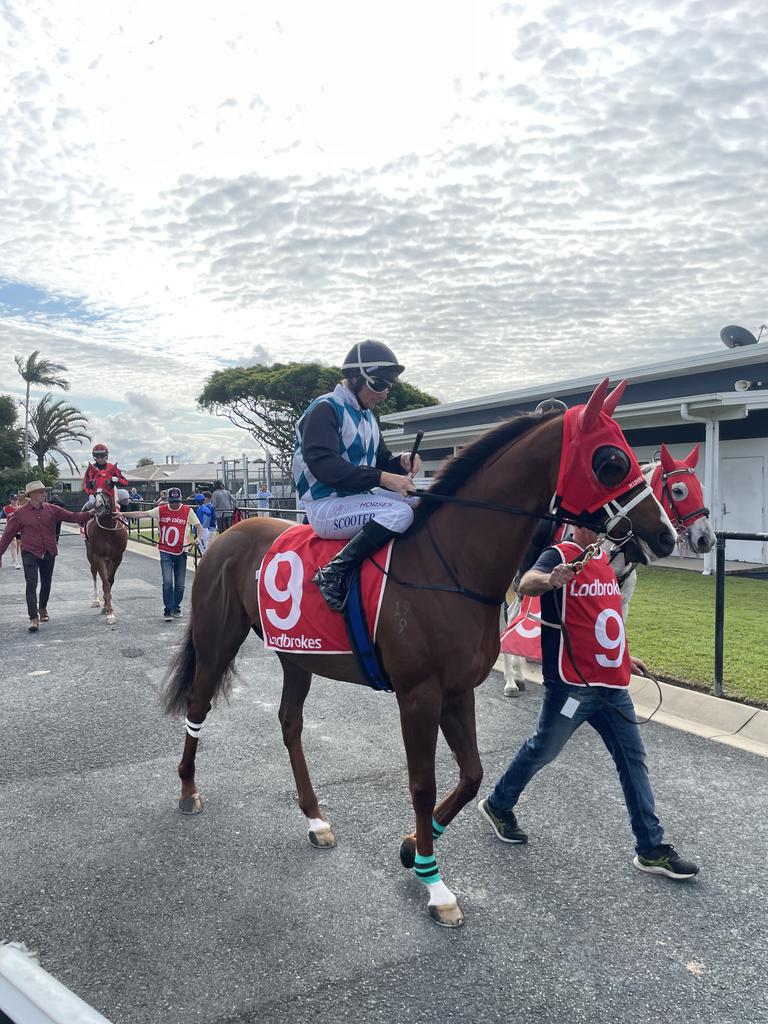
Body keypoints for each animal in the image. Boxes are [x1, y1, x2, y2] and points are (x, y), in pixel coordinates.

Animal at [85, 487, 128, 622]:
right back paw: (96, 600)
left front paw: (107, 607)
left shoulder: (117, 557)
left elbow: (110, 580)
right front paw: (109, 612)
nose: (98, 506)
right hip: (90, 554)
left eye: (108, 485)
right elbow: (105, 583)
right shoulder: (98, 556)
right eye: (93, 485)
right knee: (94, 573)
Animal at [163, 382, 679, 929]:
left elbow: (472, 775)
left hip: (296, 656)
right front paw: (435, 884)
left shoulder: (458, 689)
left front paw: (414, 846)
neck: (449, 561)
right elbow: (423, 784)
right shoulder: (418, 695)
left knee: (289, 724)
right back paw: (188, 790)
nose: (666, 535)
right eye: (611, 460)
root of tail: (228, 535)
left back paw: (316, 818)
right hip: (219, 640)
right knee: (198, 707)